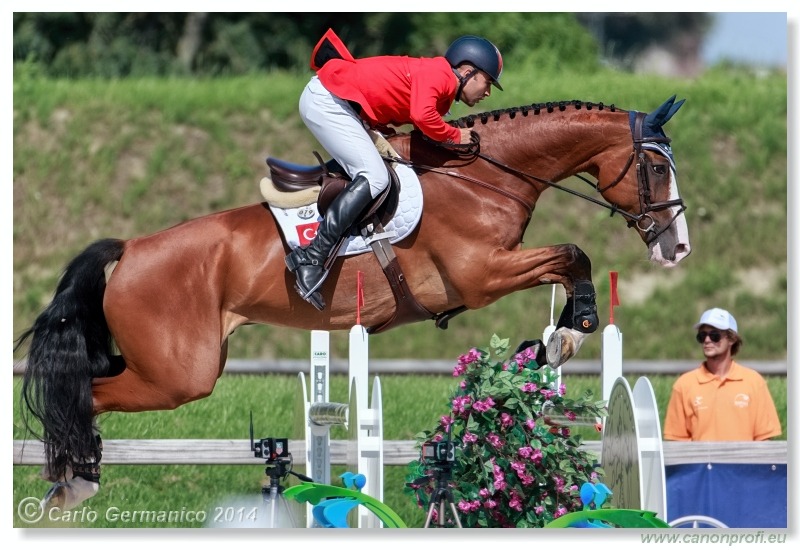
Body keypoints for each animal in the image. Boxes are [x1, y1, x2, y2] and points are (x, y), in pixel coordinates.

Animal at [15, 96, 688, 512]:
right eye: (656, 167)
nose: (675, 246)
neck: (483, 177)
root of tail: (130, 249)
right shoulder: (480, 275)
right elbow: (573, 254)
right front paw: (572, 330)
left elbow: (570, 261)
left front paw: (549, 342)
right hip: (180, 374)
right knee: (84, 394)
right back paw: (74, 481)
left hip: (167, 365)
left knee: (88, 381)